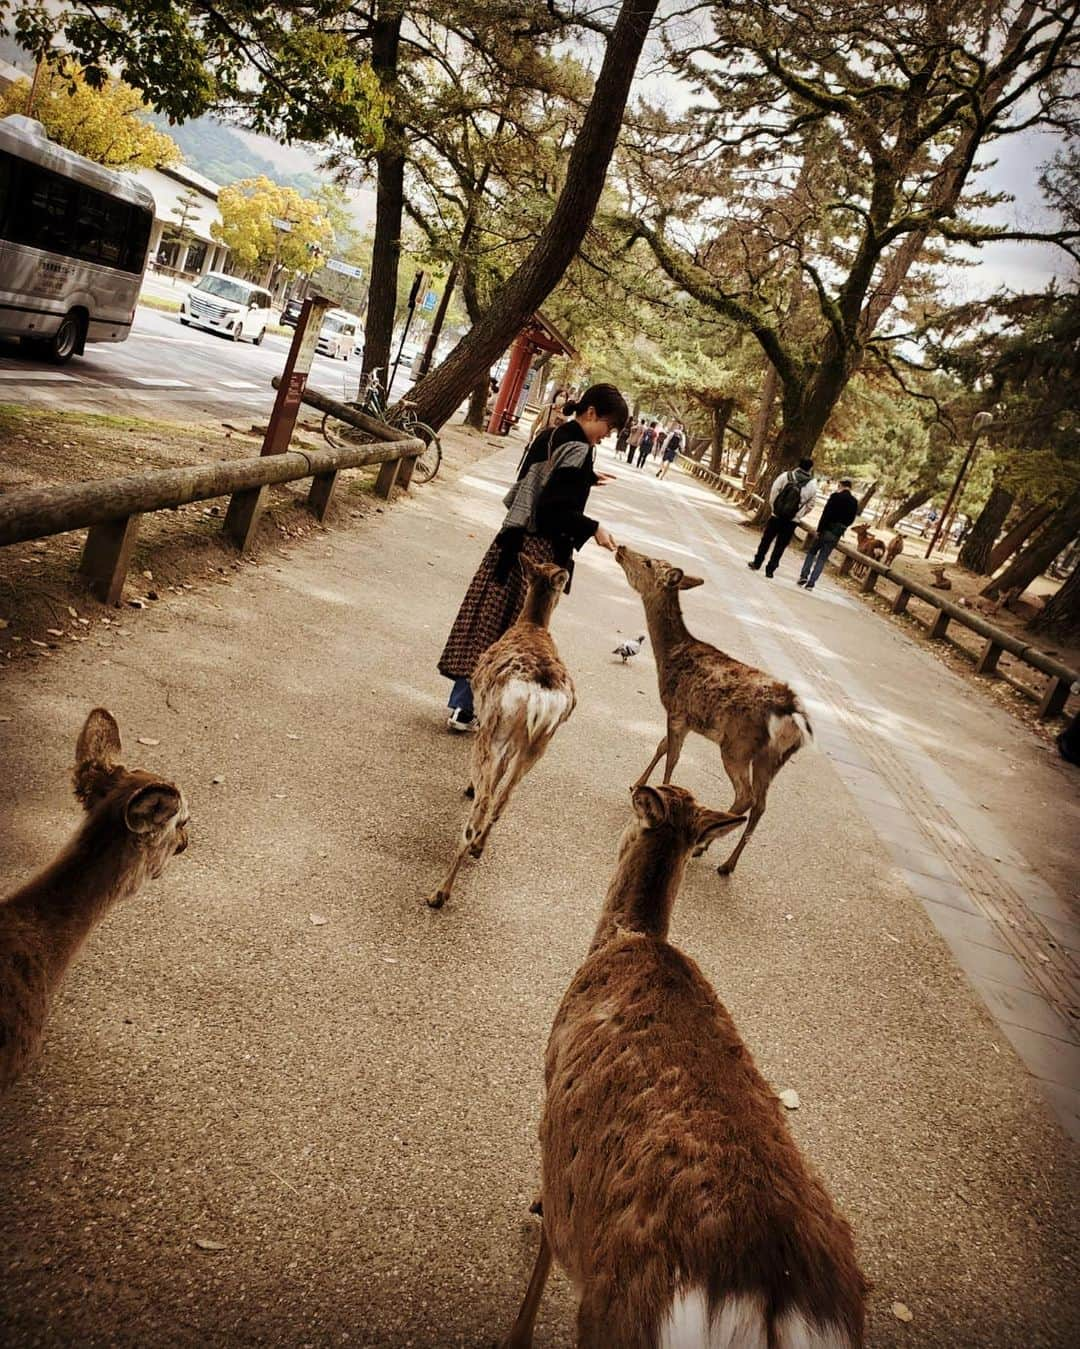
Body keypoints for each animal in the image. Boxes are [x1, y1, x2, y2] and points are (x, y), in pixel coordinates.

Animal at [428, 553, 577, 911]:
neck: (532, 624)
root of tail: (539, 695)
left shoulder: (495, 733)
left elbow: (488, 782)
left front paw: (469, 787)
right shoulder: (517, 743)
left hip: (494, 731)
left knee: (483, 805)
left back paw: (439, 893)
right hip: (538, 743)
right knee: (504, 798)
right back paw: (480, 848)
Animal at [498, 782, 868, 1349]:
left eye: (633, 811)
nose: (634, 787)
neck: (629, 939)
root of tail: (772, 1300)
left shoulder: (555, 1113)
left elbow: (545, 1250)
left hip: (618, 1317)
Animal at [614, 544, 808, 874]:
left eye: (648, 562)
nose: (621, 547)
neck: (668, 656)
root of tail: (791, 715)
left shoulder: (677, 709)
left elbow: (672, 756)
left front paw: (659, 798)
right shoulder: (685, 718)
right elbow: (662, 746)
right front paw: (637, 784)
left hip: (737, 746)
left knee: (745, 796)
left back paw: (702, 845)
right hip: (773, 758)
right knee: (761, 805)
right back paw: (727, 864)